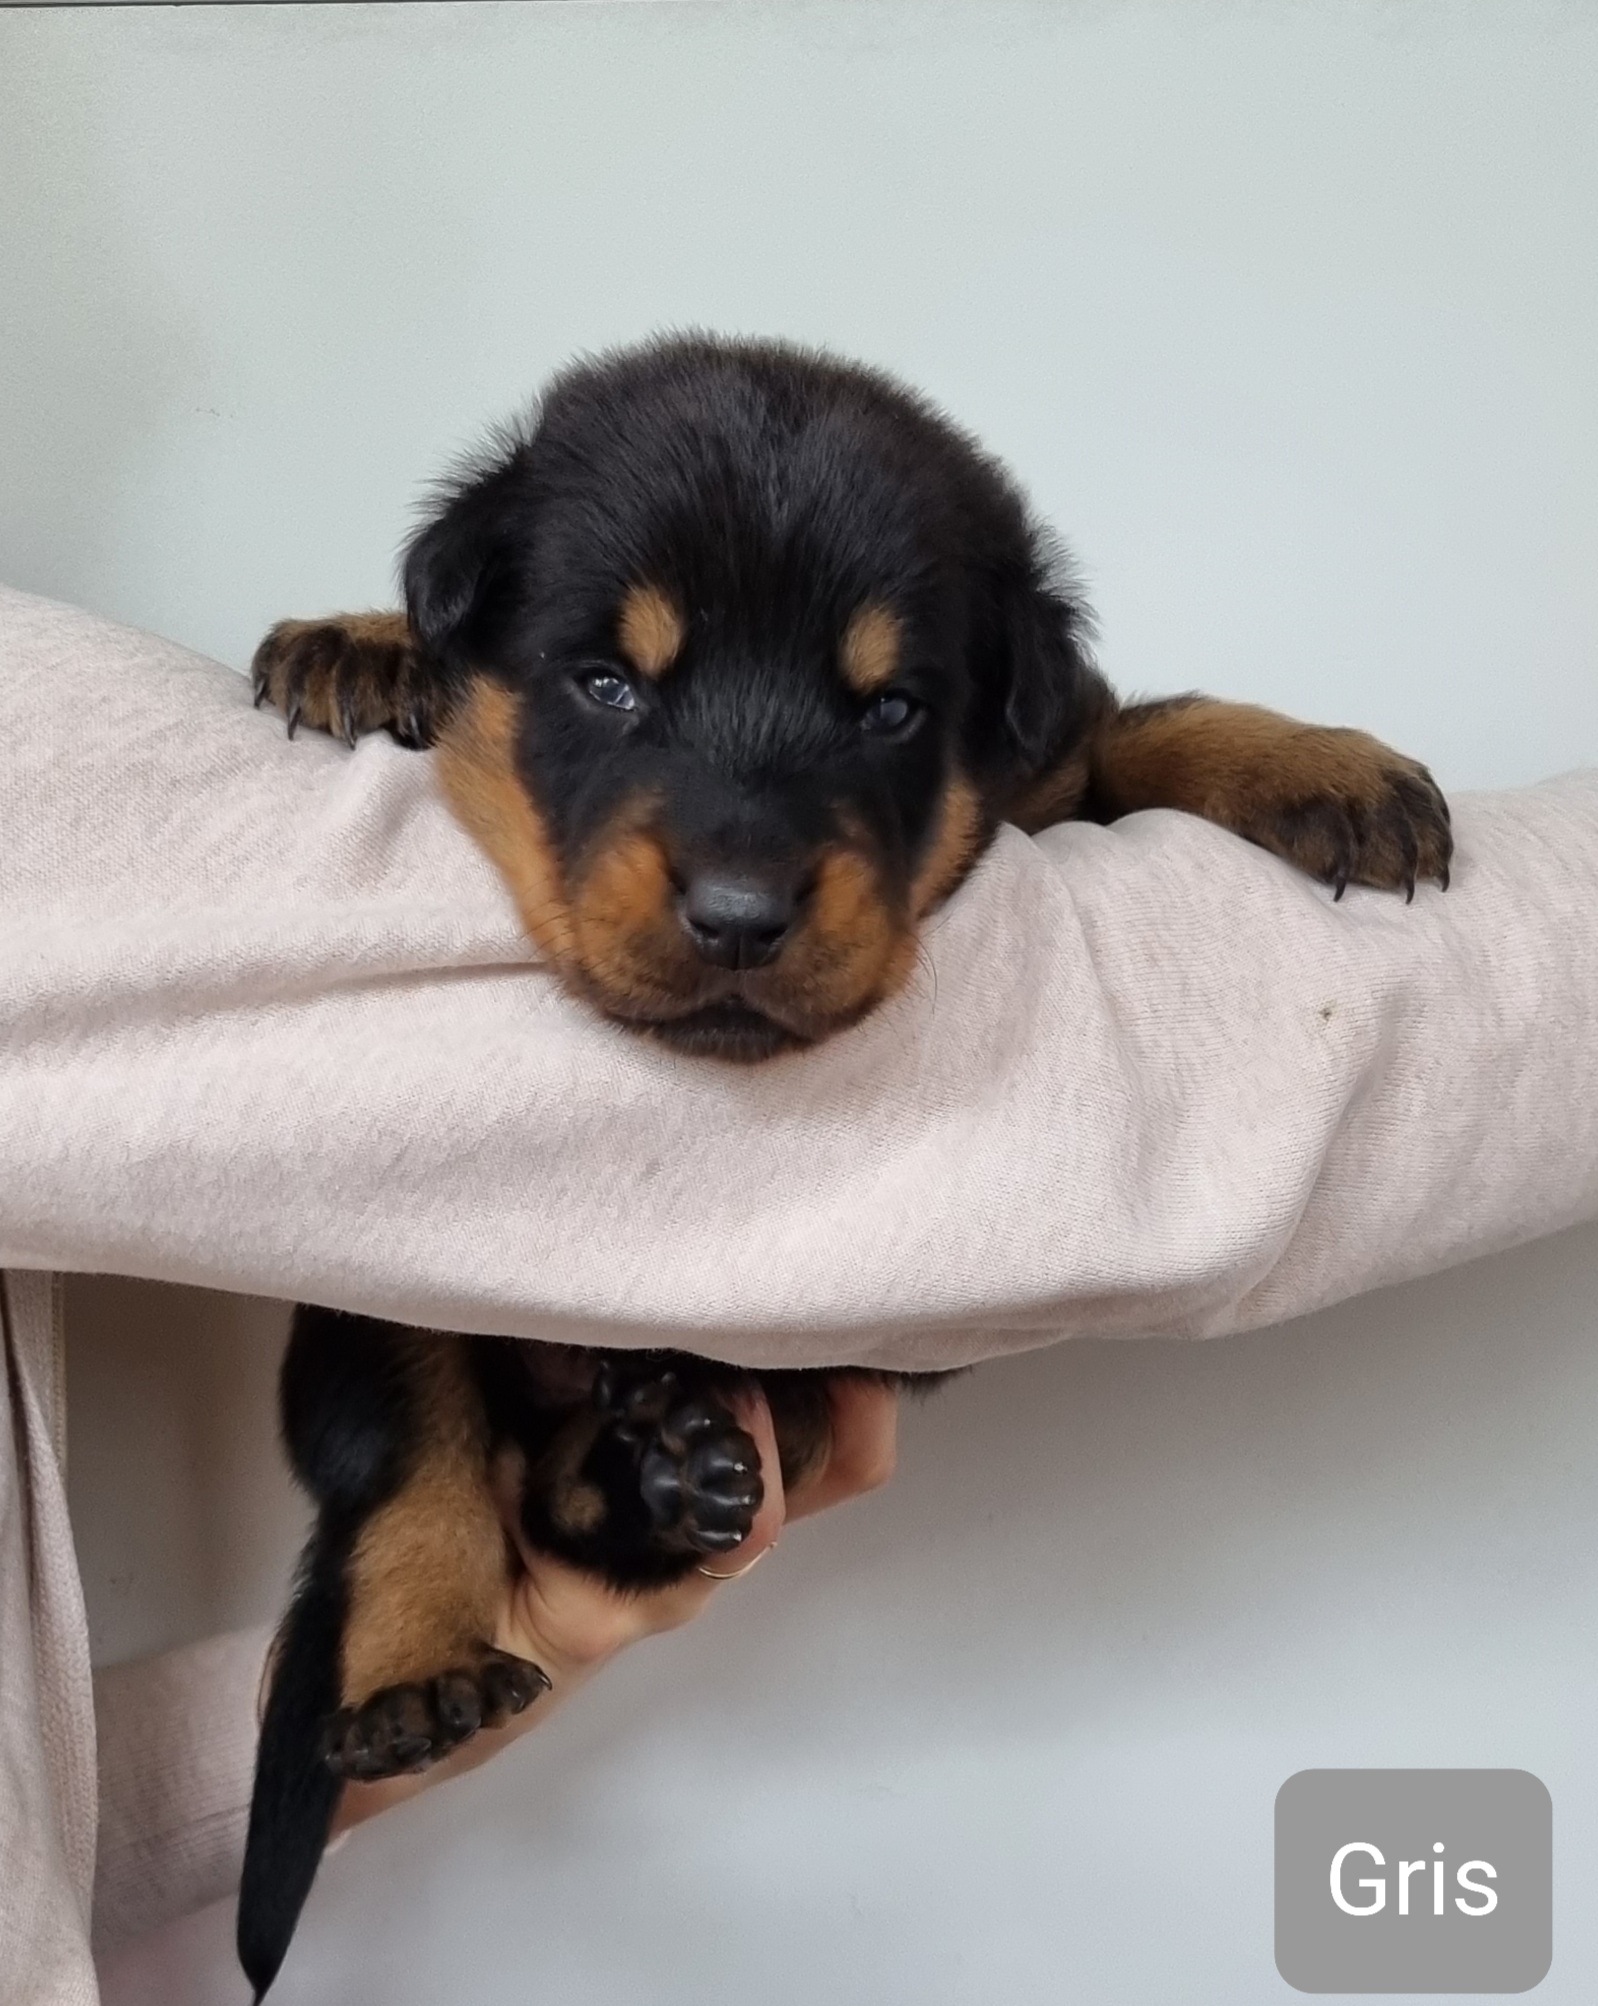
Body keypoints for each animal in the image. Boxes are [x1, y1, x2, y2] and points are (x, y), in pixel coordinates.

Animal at [237, 333, 1451, 1996]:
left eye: (888, 711)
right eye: (606, 682)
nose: (740, 914)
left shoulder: (1047, 765)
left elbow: (1140, 725)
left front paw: (1317, 764)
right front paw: (369, 646)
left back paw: (652, 1464)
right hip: (378, 1294)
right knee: (410, 1474)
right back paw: (427, 1655)